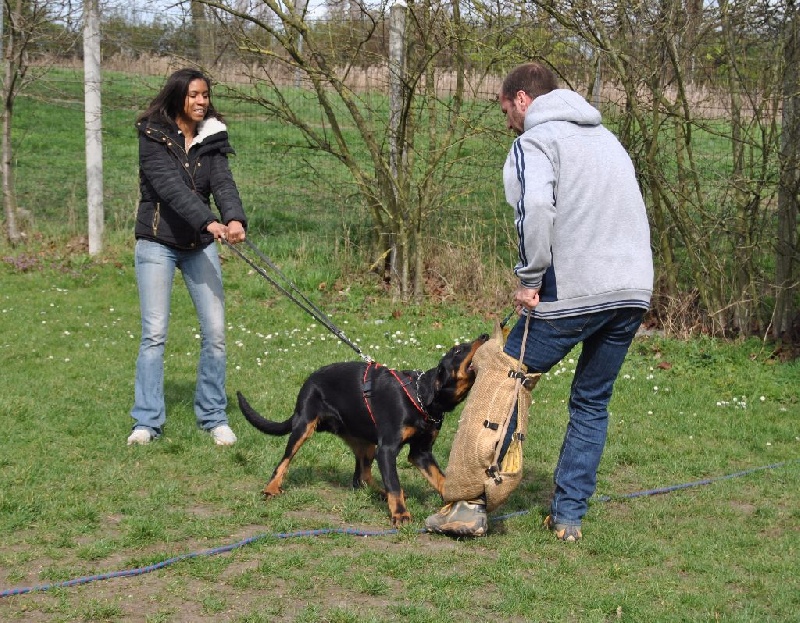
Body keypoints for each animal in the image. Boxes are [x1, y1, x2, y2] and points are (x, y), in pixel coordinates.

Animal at [236, 334, 488, 528]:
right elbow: (394, 484)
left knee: (361, 478)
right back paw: (271, 488)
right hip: (304, 426)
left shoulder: (421, 452)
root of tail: (310, 379)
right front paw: (400, 515)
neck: (421, 397)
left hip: (365, 442)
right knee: (284, 460)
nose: (485, 335)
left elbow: (440, 478)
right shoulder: (387, 449)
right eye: (458, 349)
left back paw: (379, 493)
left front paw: (455, 501)